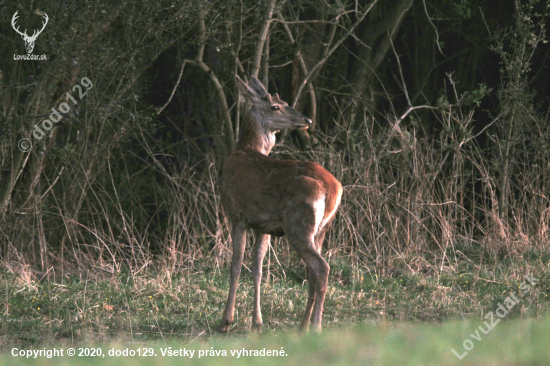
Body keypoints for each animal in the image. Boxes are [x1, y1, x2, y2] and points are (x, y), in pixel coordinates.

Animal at [219, 76, 340, 334]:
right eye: (277, 105)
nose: (307, 120)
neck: (243, 150)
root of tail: (334, 189)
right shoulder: (263, 226)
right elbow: (257, 270)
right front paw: (257, 322)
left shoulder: (237, 216)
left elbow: (235, 267)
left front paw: (226, 321)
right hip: (321, 230)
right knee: (312, 272)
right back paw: (303, 326)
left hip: (298, 224)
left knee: (321, 268)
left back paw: (316, 326)